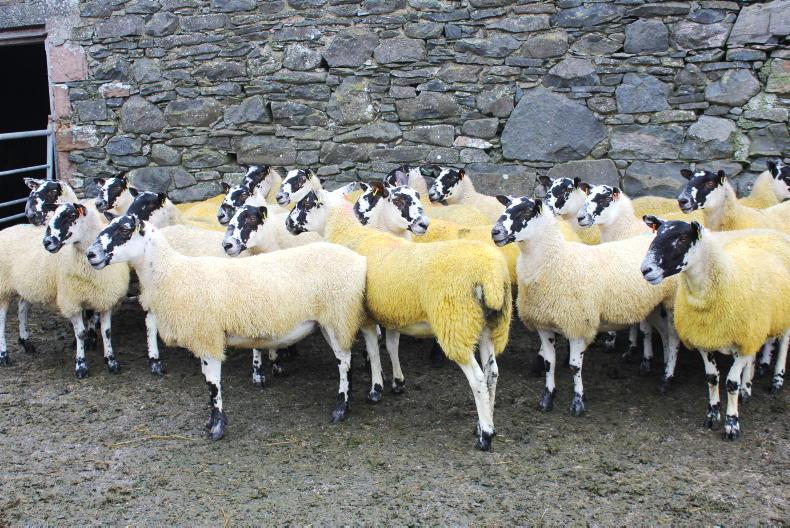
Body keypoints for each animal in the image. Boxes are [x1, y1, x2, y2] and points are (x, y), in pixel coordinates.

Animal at [86, 214, 369, 440]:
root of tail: (359, 260)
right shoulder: (204, 338)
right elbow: (207, 381)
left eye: (124, 229)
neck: (173, 274)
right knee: (346, 358)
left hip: (338, 315)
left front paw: (217, 428)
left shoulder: (208, 335)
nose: (90, 254)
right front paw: (212, 422)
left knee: (344, 361)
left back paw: (340, 409)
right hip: (331, 320)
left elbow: (213, 385)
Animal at [286, 189, 512, 451]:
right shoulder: (394, 312)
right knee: (492, 373)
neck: (351, 234)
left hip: (456, 322)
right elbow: (392, 346)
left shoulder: (365, 314)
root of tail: (490, 276)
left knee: (477, 378)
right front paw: (397, 382)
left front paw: (375, 389)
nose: (287, 223)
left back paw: (485, 435)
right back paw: (487, 424)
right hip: (490, 324)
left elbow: (373, 350)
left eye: (305, 204)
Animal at [491, 196, 677, 416]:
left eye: (526, 212)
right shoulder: (543, 324)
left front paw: (578, 401)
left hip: (672, 302)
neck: (554, 260)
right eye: (506, 207)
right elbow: (548, 362)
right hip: (653, 306)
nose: (495, 232)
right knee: (663, 335)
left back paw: (667, 379)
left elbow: (574, 366)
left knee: (673, 339)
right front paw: (547, 397)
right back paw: (658, 366)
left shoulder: (578, 325)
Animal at [640, 217, 790, 439]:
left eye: (682, 239)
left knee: (783, 344)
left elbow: (731, 383)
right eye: (656, 234)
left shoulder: (741, 342)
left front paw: (732, 424)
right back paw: (747, 388)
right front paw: (712, 415)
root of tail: (774, 234)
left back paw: (776, 381)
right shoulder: (705, 340)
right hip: (757, 325)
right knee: (754, 353)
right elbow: (712, 378)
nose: (645, 270)